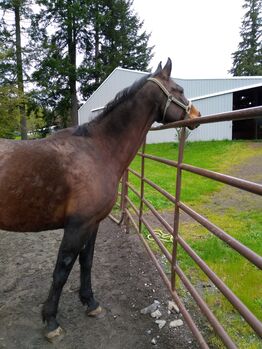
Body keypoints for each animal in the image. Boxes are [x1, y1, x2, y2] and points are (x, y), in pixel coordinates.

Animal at [0, 58, 201, 338]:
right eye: (179, 89)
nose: (196, 116)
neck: (98, 150)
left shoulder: (92, 223)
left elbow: (87, 262)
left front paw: (90, 302)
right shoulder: (77, 226)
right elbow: (62, 269)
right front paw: (51, 321)